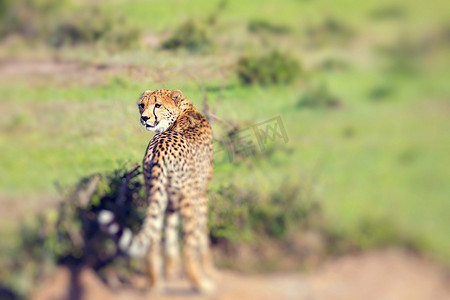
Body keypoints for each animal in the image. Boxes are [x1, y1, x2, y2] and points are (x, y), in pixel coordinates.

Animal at [99, 88, 215, 292]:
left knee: (152, 239)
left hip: (154, 194)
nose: (144, 118)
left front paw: (170, 270)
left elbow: (169, 234)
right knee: (189, 246)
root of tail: (160, 146)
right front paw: (209, 268)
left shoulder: (170, 201)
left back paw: (156, 284)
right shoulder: (200, 194)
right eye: (142, 105)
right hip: (187, 201)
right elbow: (203, 234)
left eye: (157, 105)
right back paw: (202, 284)